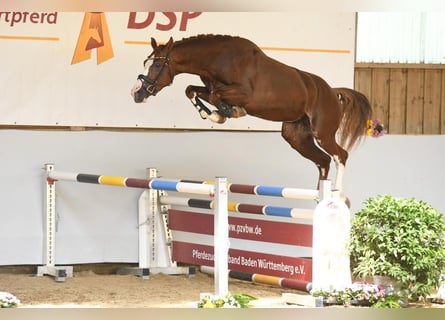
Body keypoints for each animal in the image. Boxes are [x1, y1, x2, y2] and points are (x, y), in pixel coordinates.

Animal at [131, 33, 372, 201]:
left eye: (158, 64)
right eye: (146, 63)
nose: (137, 93)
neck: (218, 60)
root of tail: (332, 91)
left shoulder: (243, 94)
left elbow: (216, 96)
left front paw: (226, 112)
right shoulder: (209, 87)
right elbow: (192, 90)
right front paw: (215, 114)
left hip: (322, 132)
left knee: (340, 155)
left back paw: (337, 194)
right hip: (296, 136)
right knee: (323, 160)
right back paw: (318, 196)